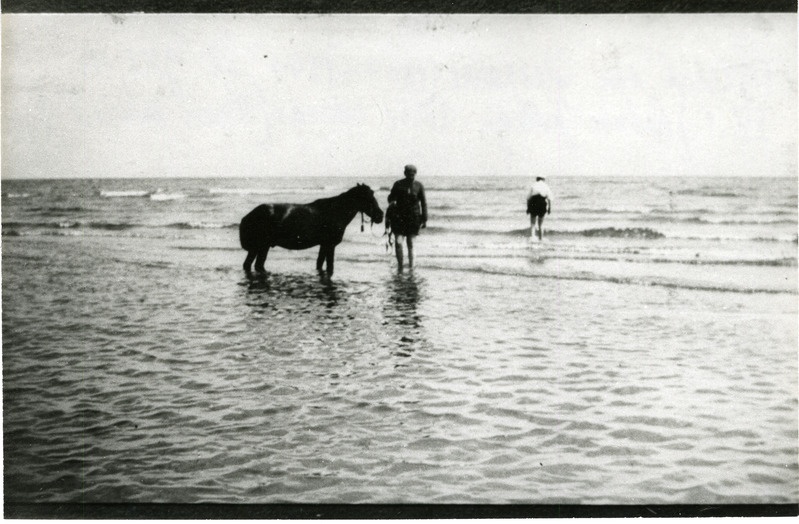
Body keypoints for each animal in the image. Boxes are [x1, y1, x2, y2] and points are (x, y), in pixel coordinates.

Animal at [241, 183, 384, 276]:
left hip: (259, 247)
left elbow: (319, 263)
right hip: (262, 246)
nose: (380, 215)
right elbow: (330, 266)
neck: (335, 211)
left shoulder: (324, 245)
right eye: (368, 197)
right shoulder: (330, 245)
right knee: (256, 265)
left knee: (252, 265)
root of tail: (250, 214)